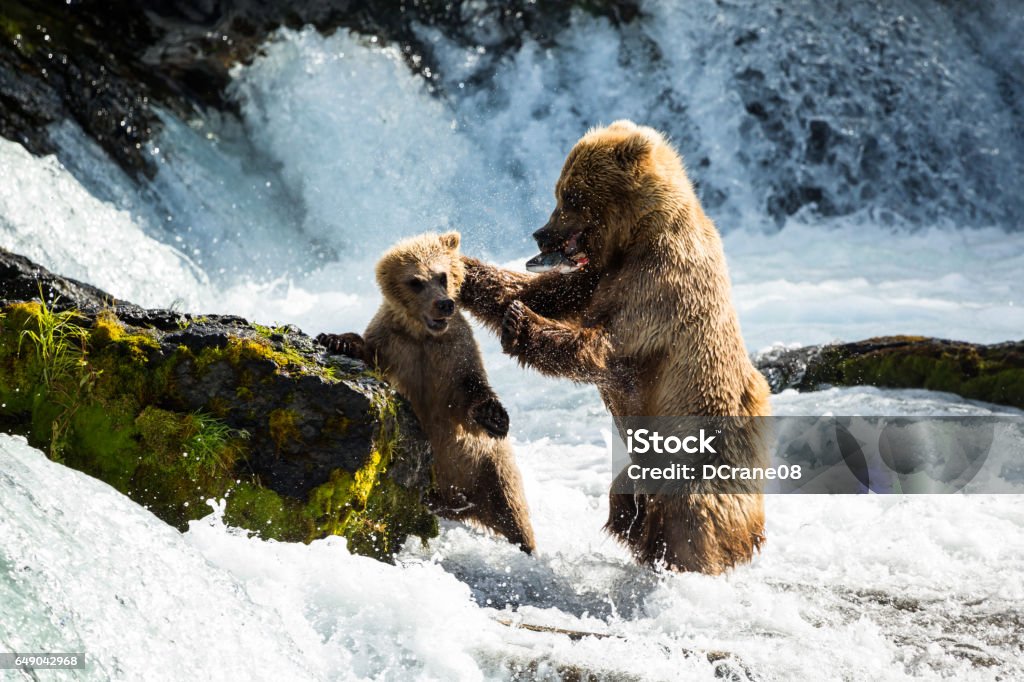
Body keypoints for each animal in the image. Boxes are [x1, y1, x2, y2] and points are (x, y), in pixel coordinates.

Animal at [317, 231, 536, 548]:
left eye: (442, 275)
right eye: (416, 281)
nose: (444, 304)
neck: (423, 335)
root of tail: (461, 504)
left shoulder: (454, 354)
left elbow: (468, 392)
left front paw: (494, 416)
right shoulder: (394, 344)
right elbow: (369, 351)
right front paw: (336, 339)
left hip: (491, 469)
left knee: (515, 515)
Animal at [460, 119, 770, 569]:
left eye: (571, 195)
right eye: (560, 190)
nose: (540, 234)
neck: (635, 240)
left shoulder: (658, 288)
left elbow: (602, 350)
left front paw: (520, 322)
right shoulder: (597, 279)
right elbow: (540, 290)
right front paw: (462, 270)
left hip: (699, 461)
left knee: (694, 525)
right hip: (640, 474)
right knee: (627, 502)